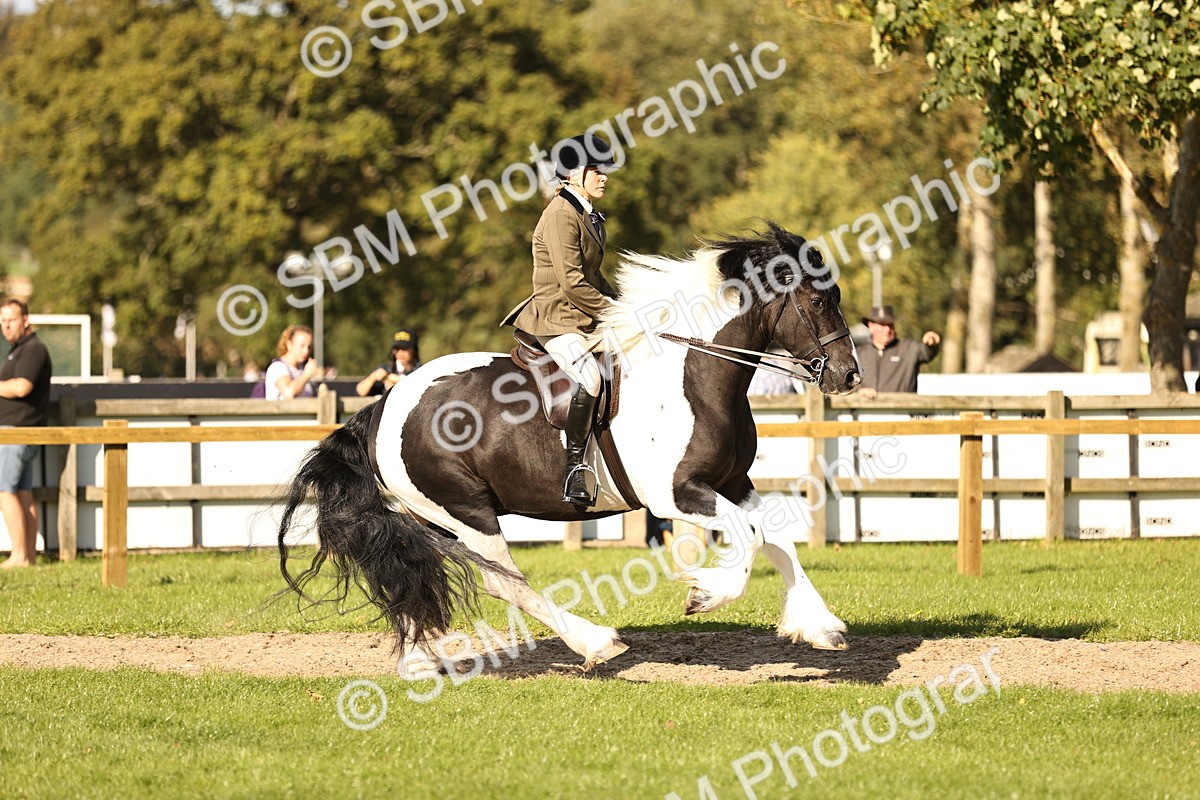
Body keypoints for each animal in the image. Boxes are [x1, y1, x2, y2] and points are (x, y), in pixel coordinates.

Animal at [277, 221, 862, 673]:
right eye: (817, 299)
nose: (849, 376)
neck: (694, 374)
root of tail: (385, 405)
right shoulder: (676, 494)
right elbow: (752, 536)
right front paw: (704, 591)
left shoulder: (733, 483)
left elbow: (777, 536)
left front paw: (820, 626)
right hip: (465, 512)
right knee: (506, 585)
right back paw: (596, 642)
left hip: (432, 519)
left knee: (409, 567)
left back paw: (419, 662)